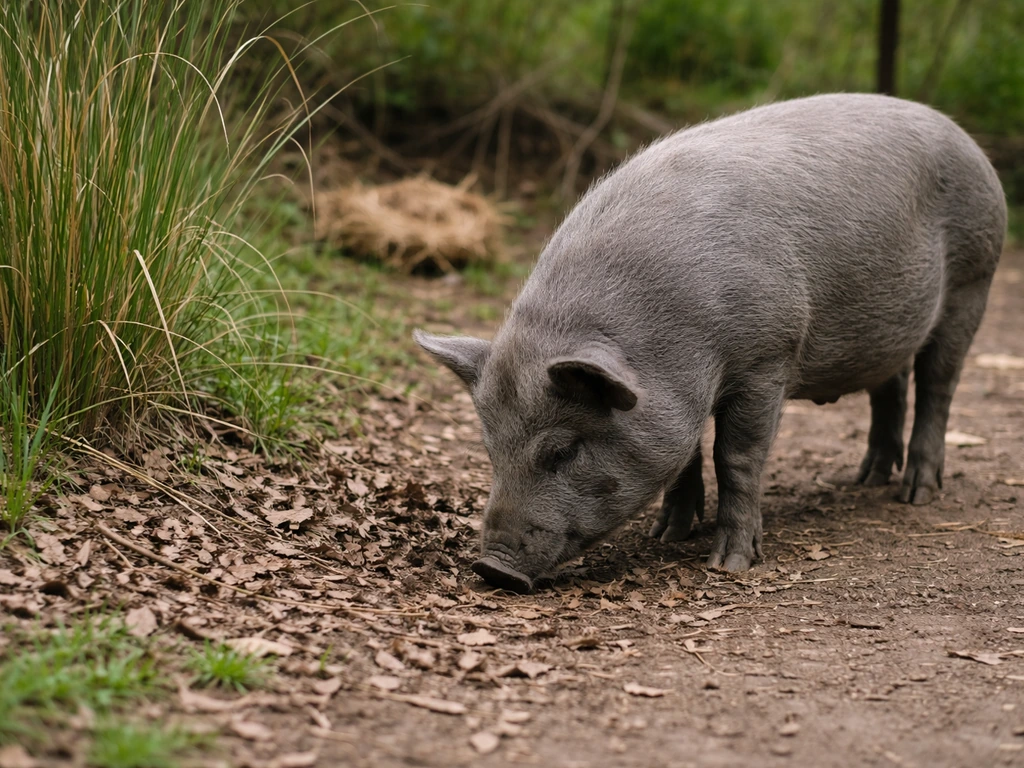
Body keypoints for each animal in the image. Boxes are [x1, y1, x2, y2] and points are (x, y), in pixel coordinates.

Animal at [415, 94, 1006, 593]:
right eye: (490, 449)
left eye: (561, 450)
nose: (492, 569)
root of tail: (965, 138)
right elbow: (684, 454)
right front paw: (666, 535)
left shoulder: (769, 355)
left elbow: (735, 456)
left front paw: (730, 564)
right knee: (893, 386)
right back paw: (868, 478)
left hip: (975, 278)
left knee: (939, 385)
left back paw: (916, 493)